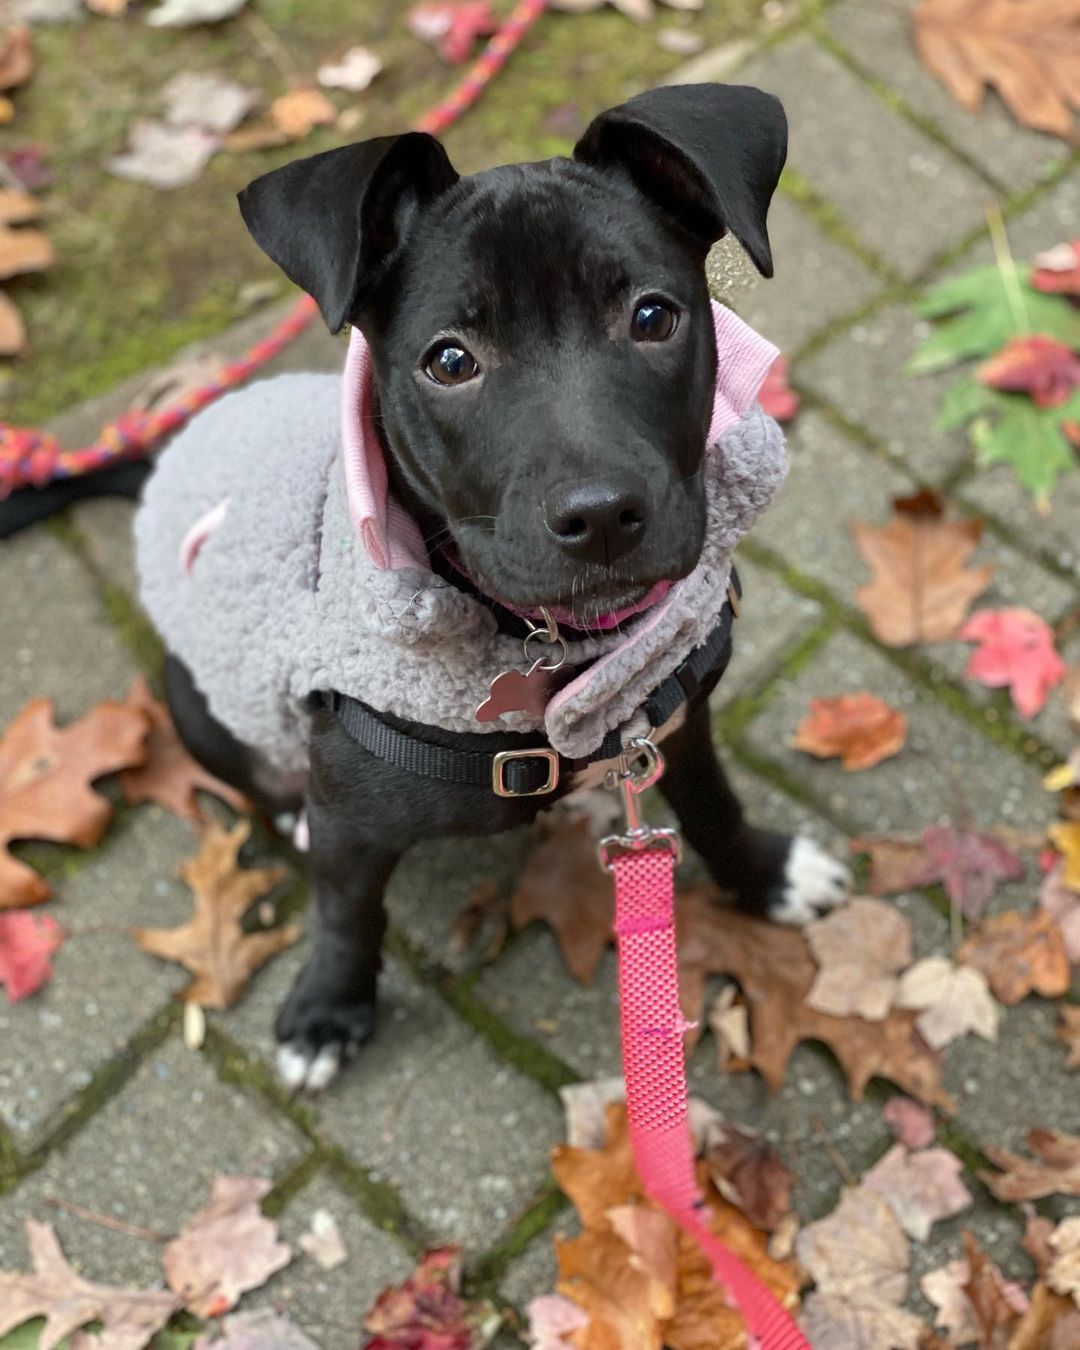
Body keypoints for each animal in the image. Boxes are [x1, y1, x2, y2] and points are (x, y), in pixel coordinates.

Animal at [151, 84, 847, 1090]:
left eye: (653, 317)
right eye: (450, 361)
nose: (601, 515)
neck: (558, 649)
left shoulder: (679, 718)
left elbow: (714, 802)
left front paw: (763, 872)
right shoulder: (353, 824)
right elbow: (345, 913)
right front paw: (328, 1010)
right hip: (200, 704)